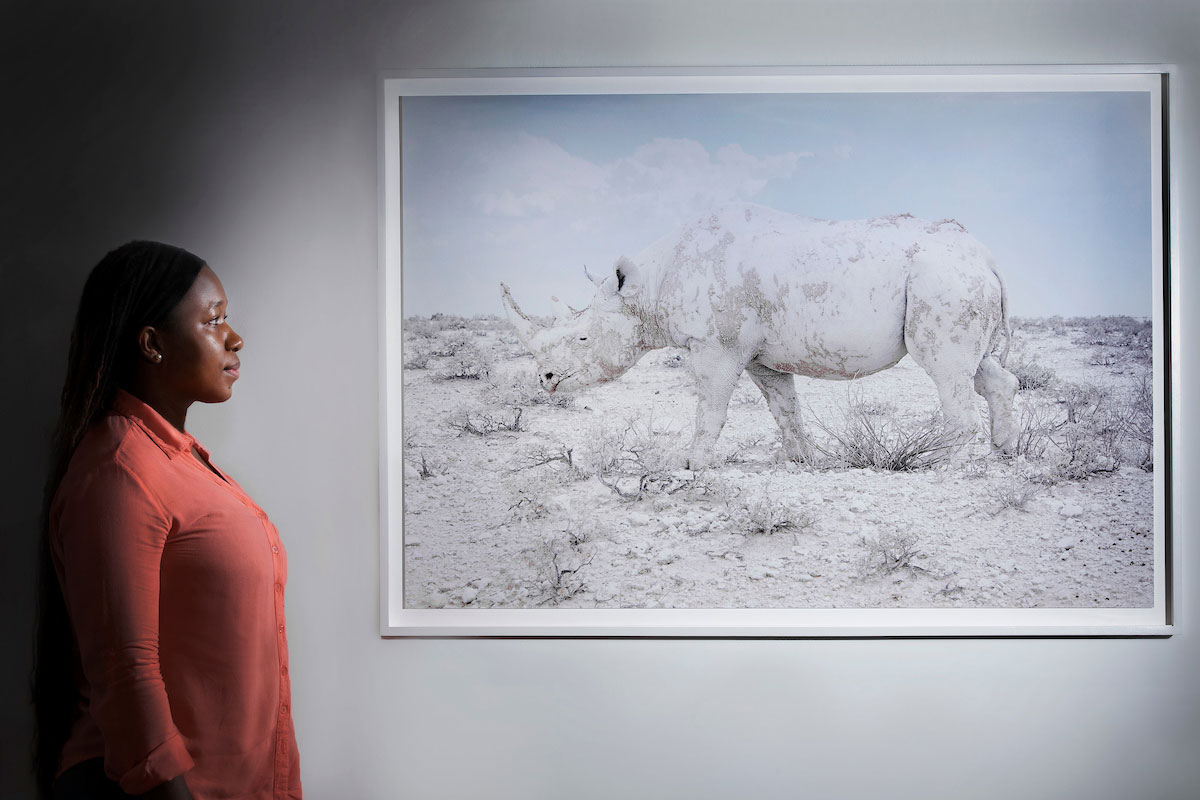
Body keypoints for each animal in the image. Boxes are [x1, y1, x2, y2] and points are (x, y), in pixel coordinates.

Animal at [496, 203, 1012, 470]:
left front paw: (691, 466)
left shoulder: (715, 346)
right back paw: (1002, 456)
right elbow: (785, 410)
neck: (647, 289)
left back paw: (934, 466)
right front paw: (803, 463)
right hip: (957, 278)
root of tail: (985, 255)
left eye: (582, 339)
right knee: (982, 370)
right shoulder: (762, 355)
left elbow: (709, 407)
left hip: (943, 279)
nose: (545, 379)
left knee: (945, 368)